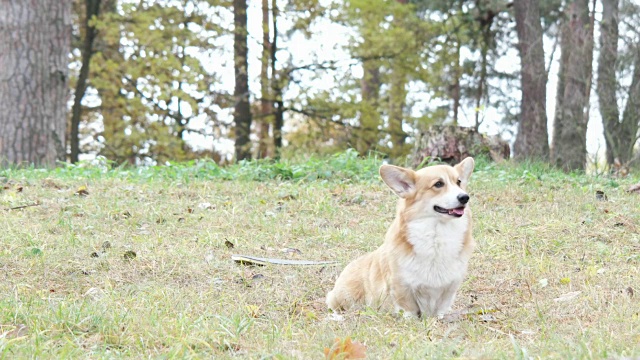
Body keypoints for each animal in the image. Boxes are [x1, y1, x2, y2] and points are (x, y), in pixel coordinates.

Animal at [328, 158, 472, 318]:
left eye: (459, 182)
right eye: (438, 184)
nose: (465, 197)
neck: (437, 235)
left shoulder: (450, 287)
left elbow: (442, 307)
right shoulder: (401, 286)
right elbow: (408, 308)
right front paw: (410, 319)